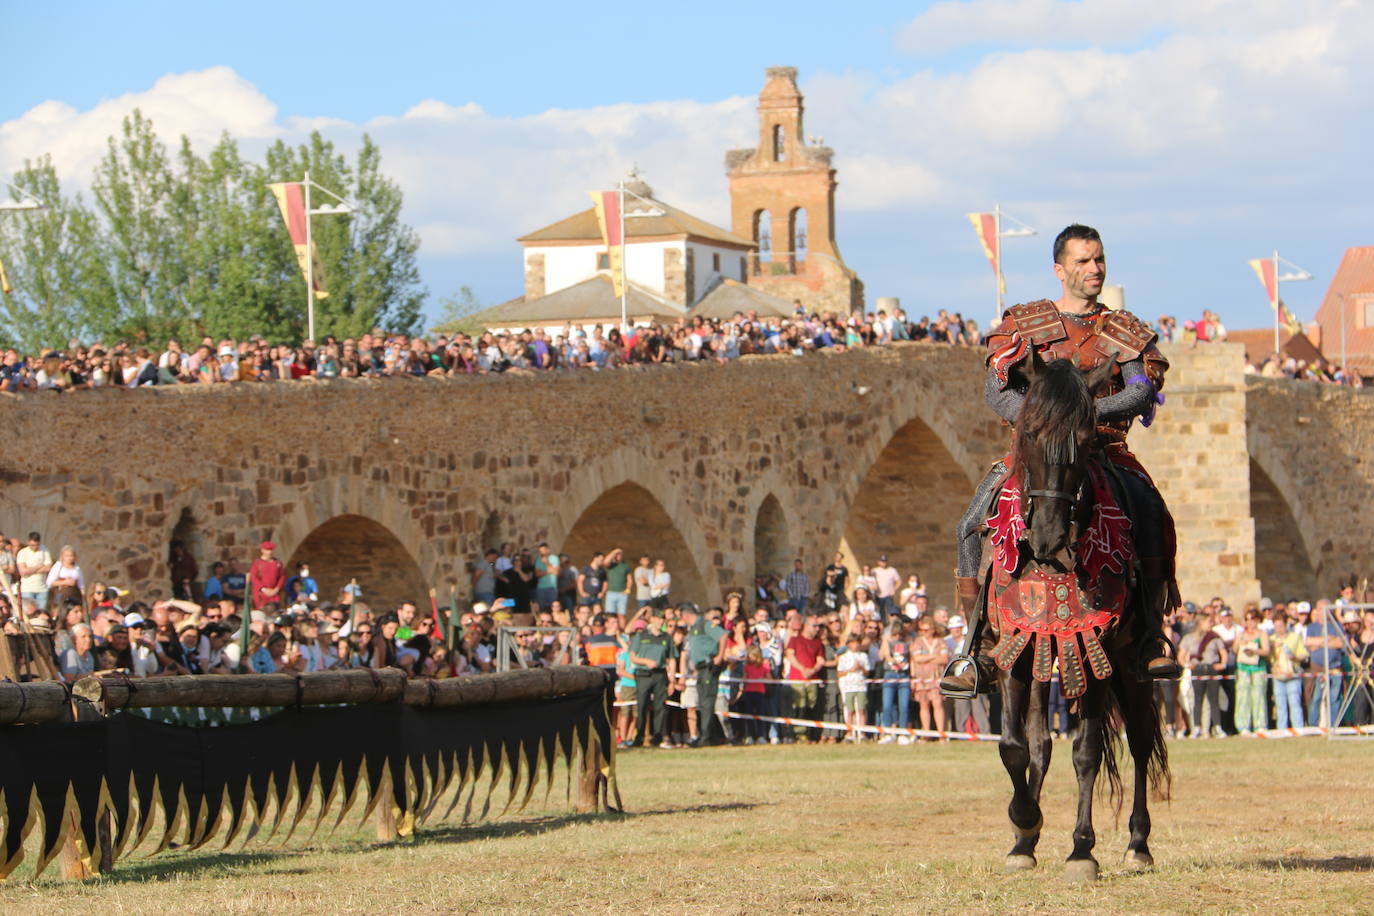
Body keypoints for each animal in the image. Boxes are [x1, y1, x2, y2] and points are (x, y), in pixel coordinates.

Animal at [989, 351, 1170, 878]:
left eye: (1088, 440)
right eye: (1028, 432)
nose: (1047, 537)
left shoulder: (1096, 651)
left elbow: (1087, 753)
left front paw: (1081, 851)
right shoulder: (1014, 649)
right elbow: (1016, 748)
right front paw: (1024, 825)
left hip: (1130, 663)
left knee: (1140, 739)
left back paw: (1138, 844)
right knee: (1040, 745)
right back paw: (1026, 841)